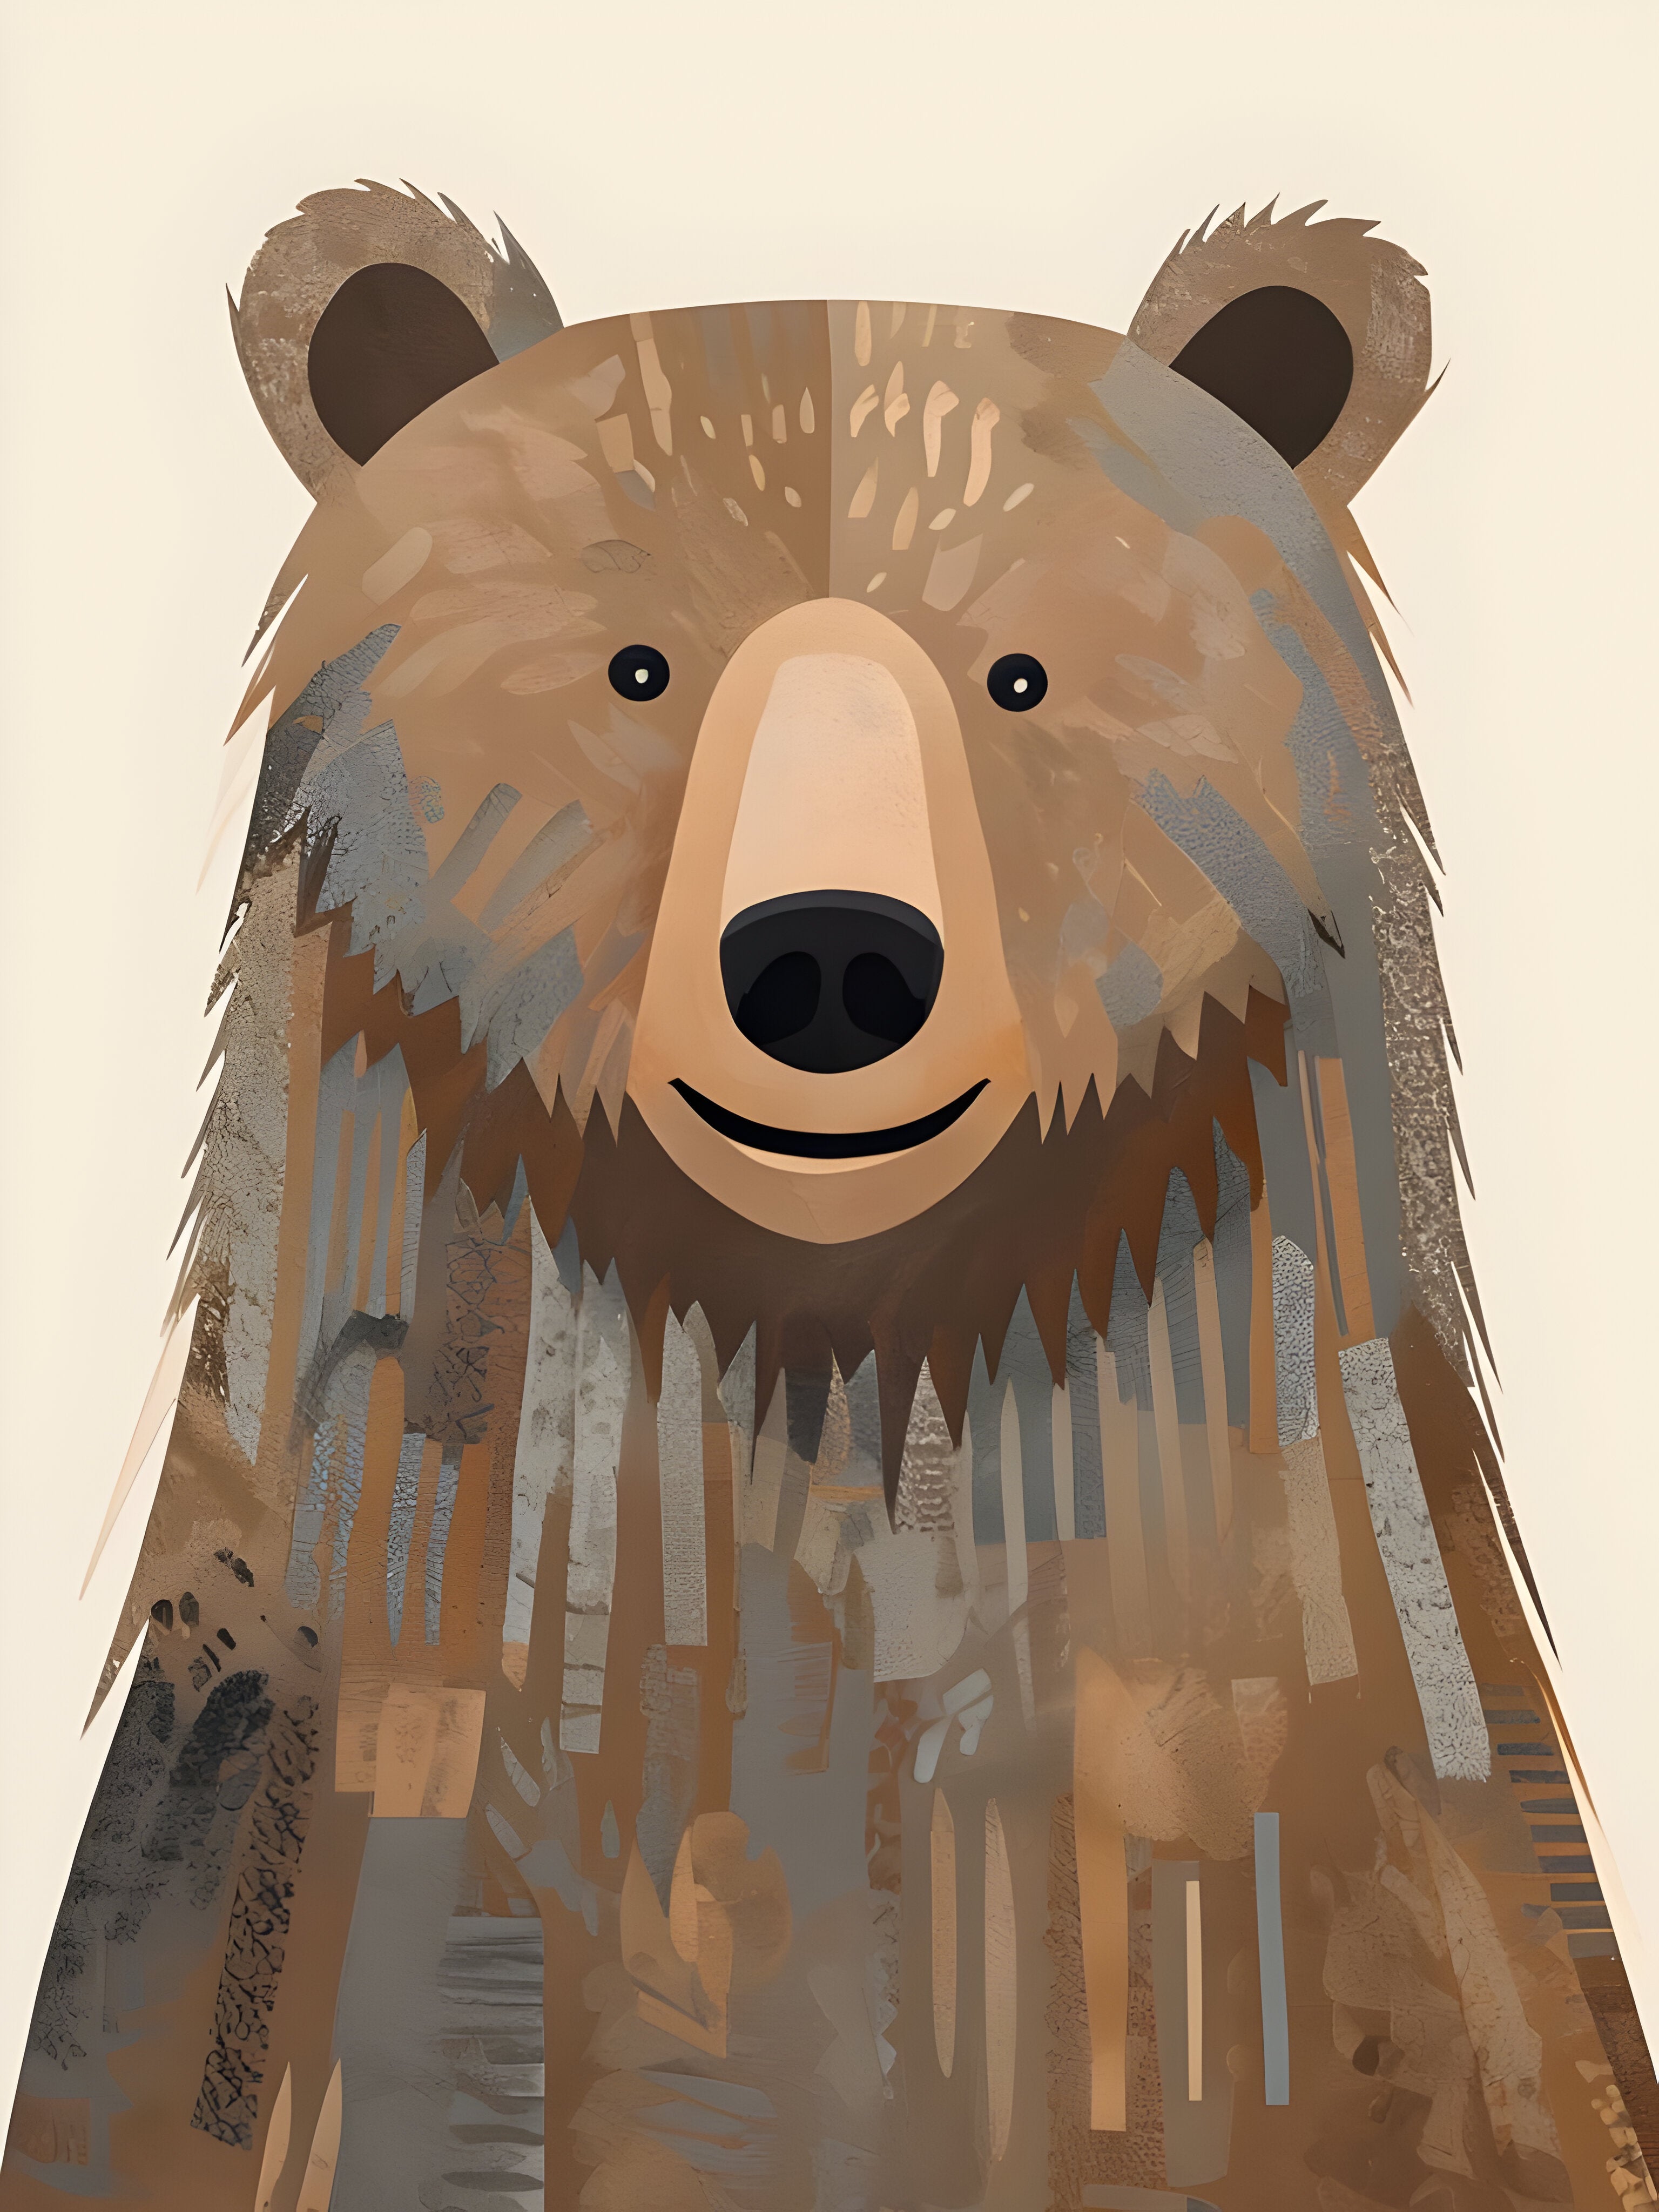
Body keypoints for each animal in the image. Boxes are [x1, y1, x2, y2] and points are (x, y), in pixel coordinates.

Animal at [5, 177, 1655, 2212]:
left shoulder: (1289, 1744)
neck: (841, 1334)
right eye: (639, 668)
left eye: (1019, 677)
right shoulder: (366, 1736)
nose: (832, 965)